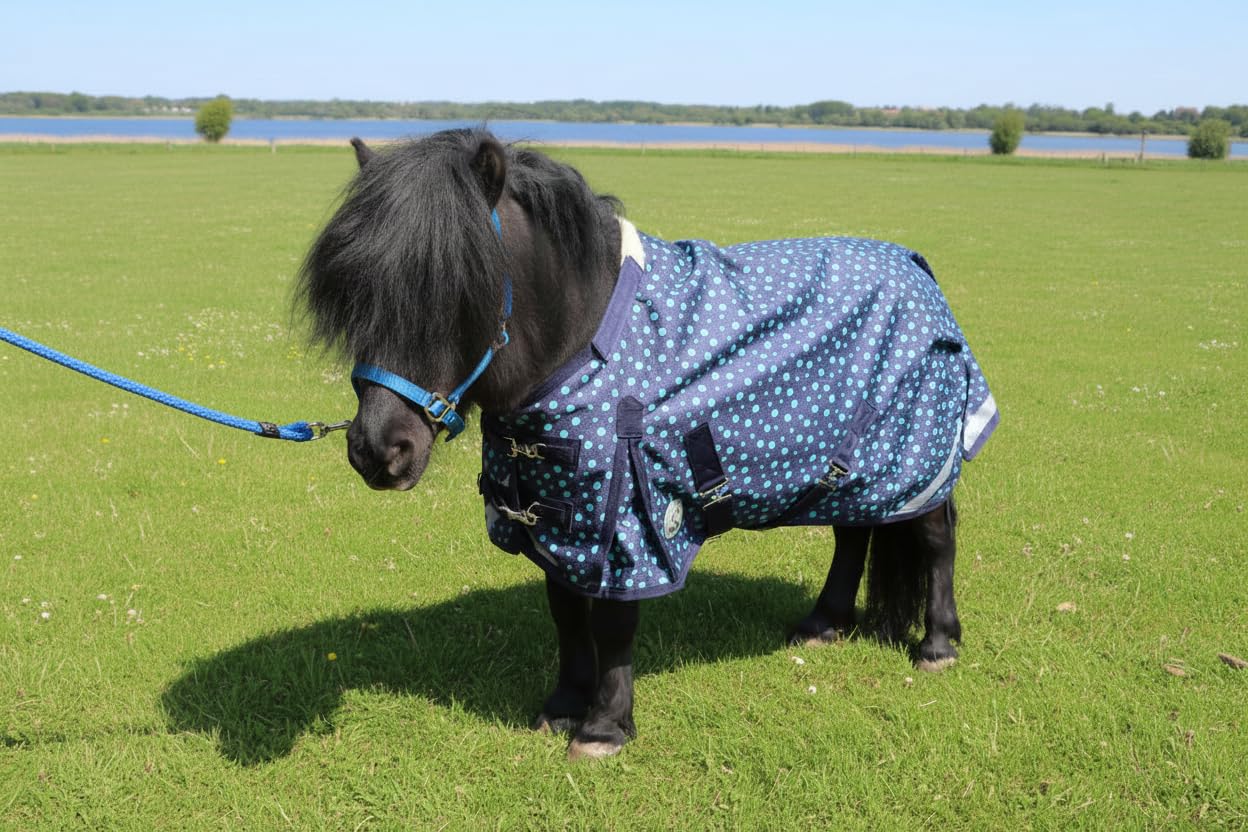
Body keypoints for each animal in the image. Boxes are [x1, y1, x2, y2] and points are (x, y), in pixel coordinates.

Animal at [297, 128, 997, 760]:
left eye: (458, 289)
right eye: (357, 292)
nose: (377, 450)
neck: (585, 341)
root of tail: (916, 269)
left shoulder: (627, 518)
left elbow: (612, 621)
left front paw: (604, 727)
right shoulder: (559, 513)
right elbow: (565, 607)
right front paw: (563, 704)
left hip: (913, 456)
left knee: (935, 538)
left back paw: (937, 645)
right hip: (845, 466)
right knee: (852, 534)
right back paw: (822, 625)